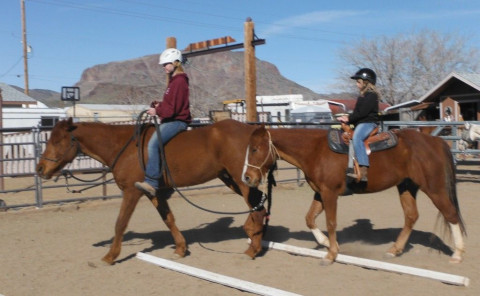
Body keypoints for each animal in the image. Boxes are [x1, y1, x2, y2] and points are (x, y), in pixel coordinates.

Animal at [36, 119, 270, 264]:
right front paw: (180, 249)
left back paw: (252, 249)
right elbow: (168, 219)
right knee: (260, 206)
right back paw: (255, 236)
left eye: (56, 141)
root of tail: (253, 132)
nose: (40, 169)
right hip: (231, 179)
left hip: (243, 181)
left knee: (258, 210)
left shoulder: (131, 192)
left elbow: (120, 223)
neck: (124, 146)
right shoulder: (153, 192)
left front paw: (110, 256)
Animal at [242, 126, 466, 264]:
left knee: (450, 214)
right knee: (411, 216)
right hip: (406, 186)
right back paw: (395, 249)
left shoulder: (330, 193)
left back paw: (457, 254)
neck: (315, 150)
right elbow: (309, 218)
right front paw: (327, 243)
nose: (247, 177)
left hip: (434, 188)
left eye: (255, 149)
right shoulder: (320, 193)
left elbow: (331, 222)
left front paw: (331, 254)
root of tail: (435, 140)